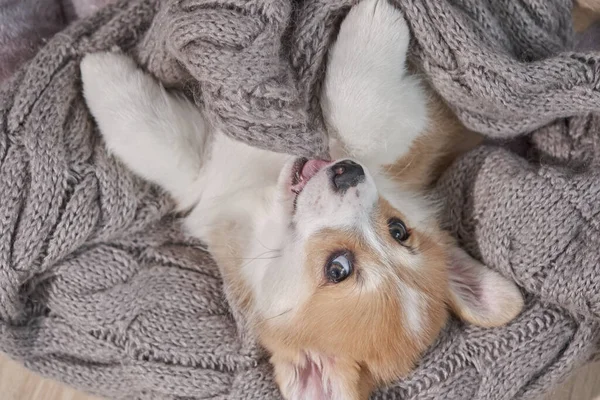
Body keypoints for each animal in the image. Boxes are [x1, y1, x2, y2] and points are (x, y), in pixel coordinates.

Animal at [81, 1, 524, 398]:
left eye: (338, 268)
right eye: (399, 230)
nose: (350, 173)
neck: (265, 207)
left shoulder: (418, 131)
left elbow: (363, 124)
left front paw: (374, 25)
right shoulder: (204, 183)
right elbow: (153, 138)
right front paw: (98, 73)